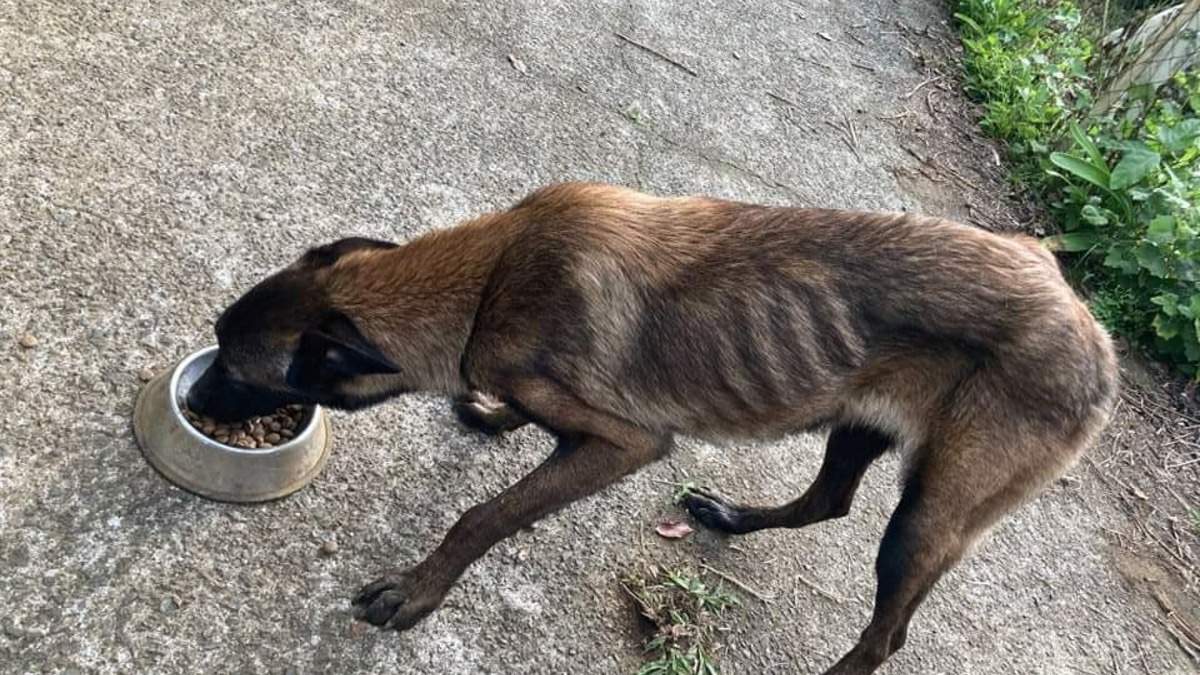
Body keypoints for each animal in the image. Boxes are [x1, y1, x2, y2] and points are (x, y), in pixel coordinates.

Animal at [184, 181, 1113, 667]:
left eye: (232, 368)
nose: (191, 403)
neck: (490, 275)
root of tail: (1088, 325)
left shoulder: (622, 445)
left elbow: (481, 516)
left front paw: (418, 590)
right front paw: (492, 415)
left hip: (925, 519)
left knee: (886, 634)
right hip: (853, 422)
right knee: (829, 500)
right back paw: (732, 515)